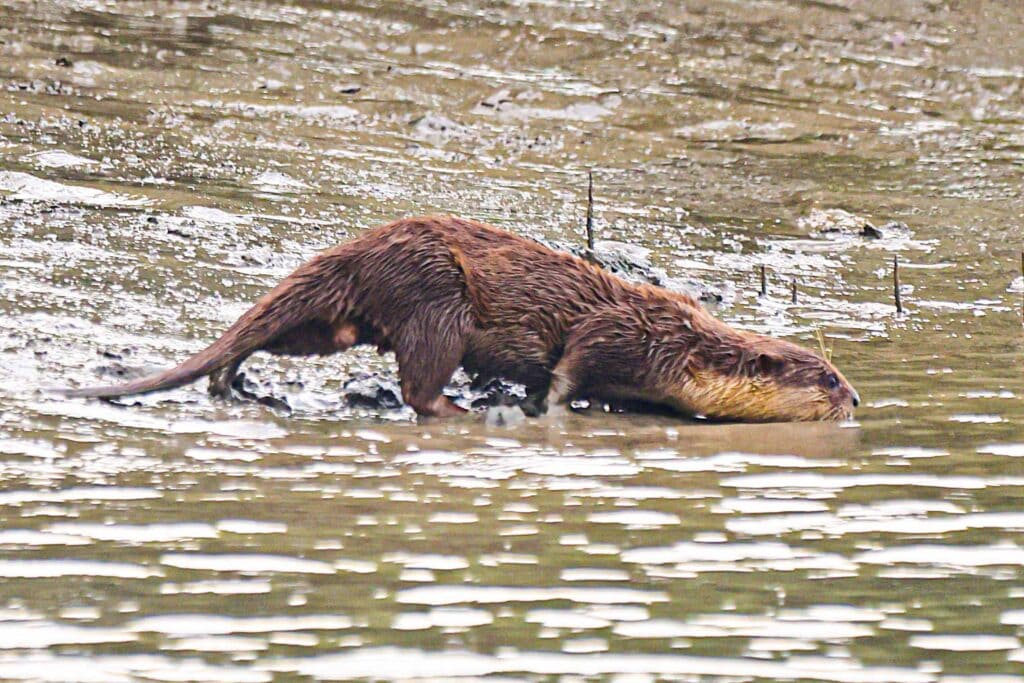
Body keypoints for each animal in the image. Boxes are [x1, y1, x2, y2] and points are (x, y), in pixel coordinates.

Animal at [60, 216, 860, 422]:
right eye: (825, 376)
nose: (856, 397)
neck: (678, 345)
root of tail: (362, 247)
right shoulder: (615, 333)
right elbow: (568, 369)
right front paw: (549, 408)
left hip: (329, 330)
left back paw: (229, 379)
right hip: (435, 300)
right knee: (418, 384)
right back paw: (456, 408)